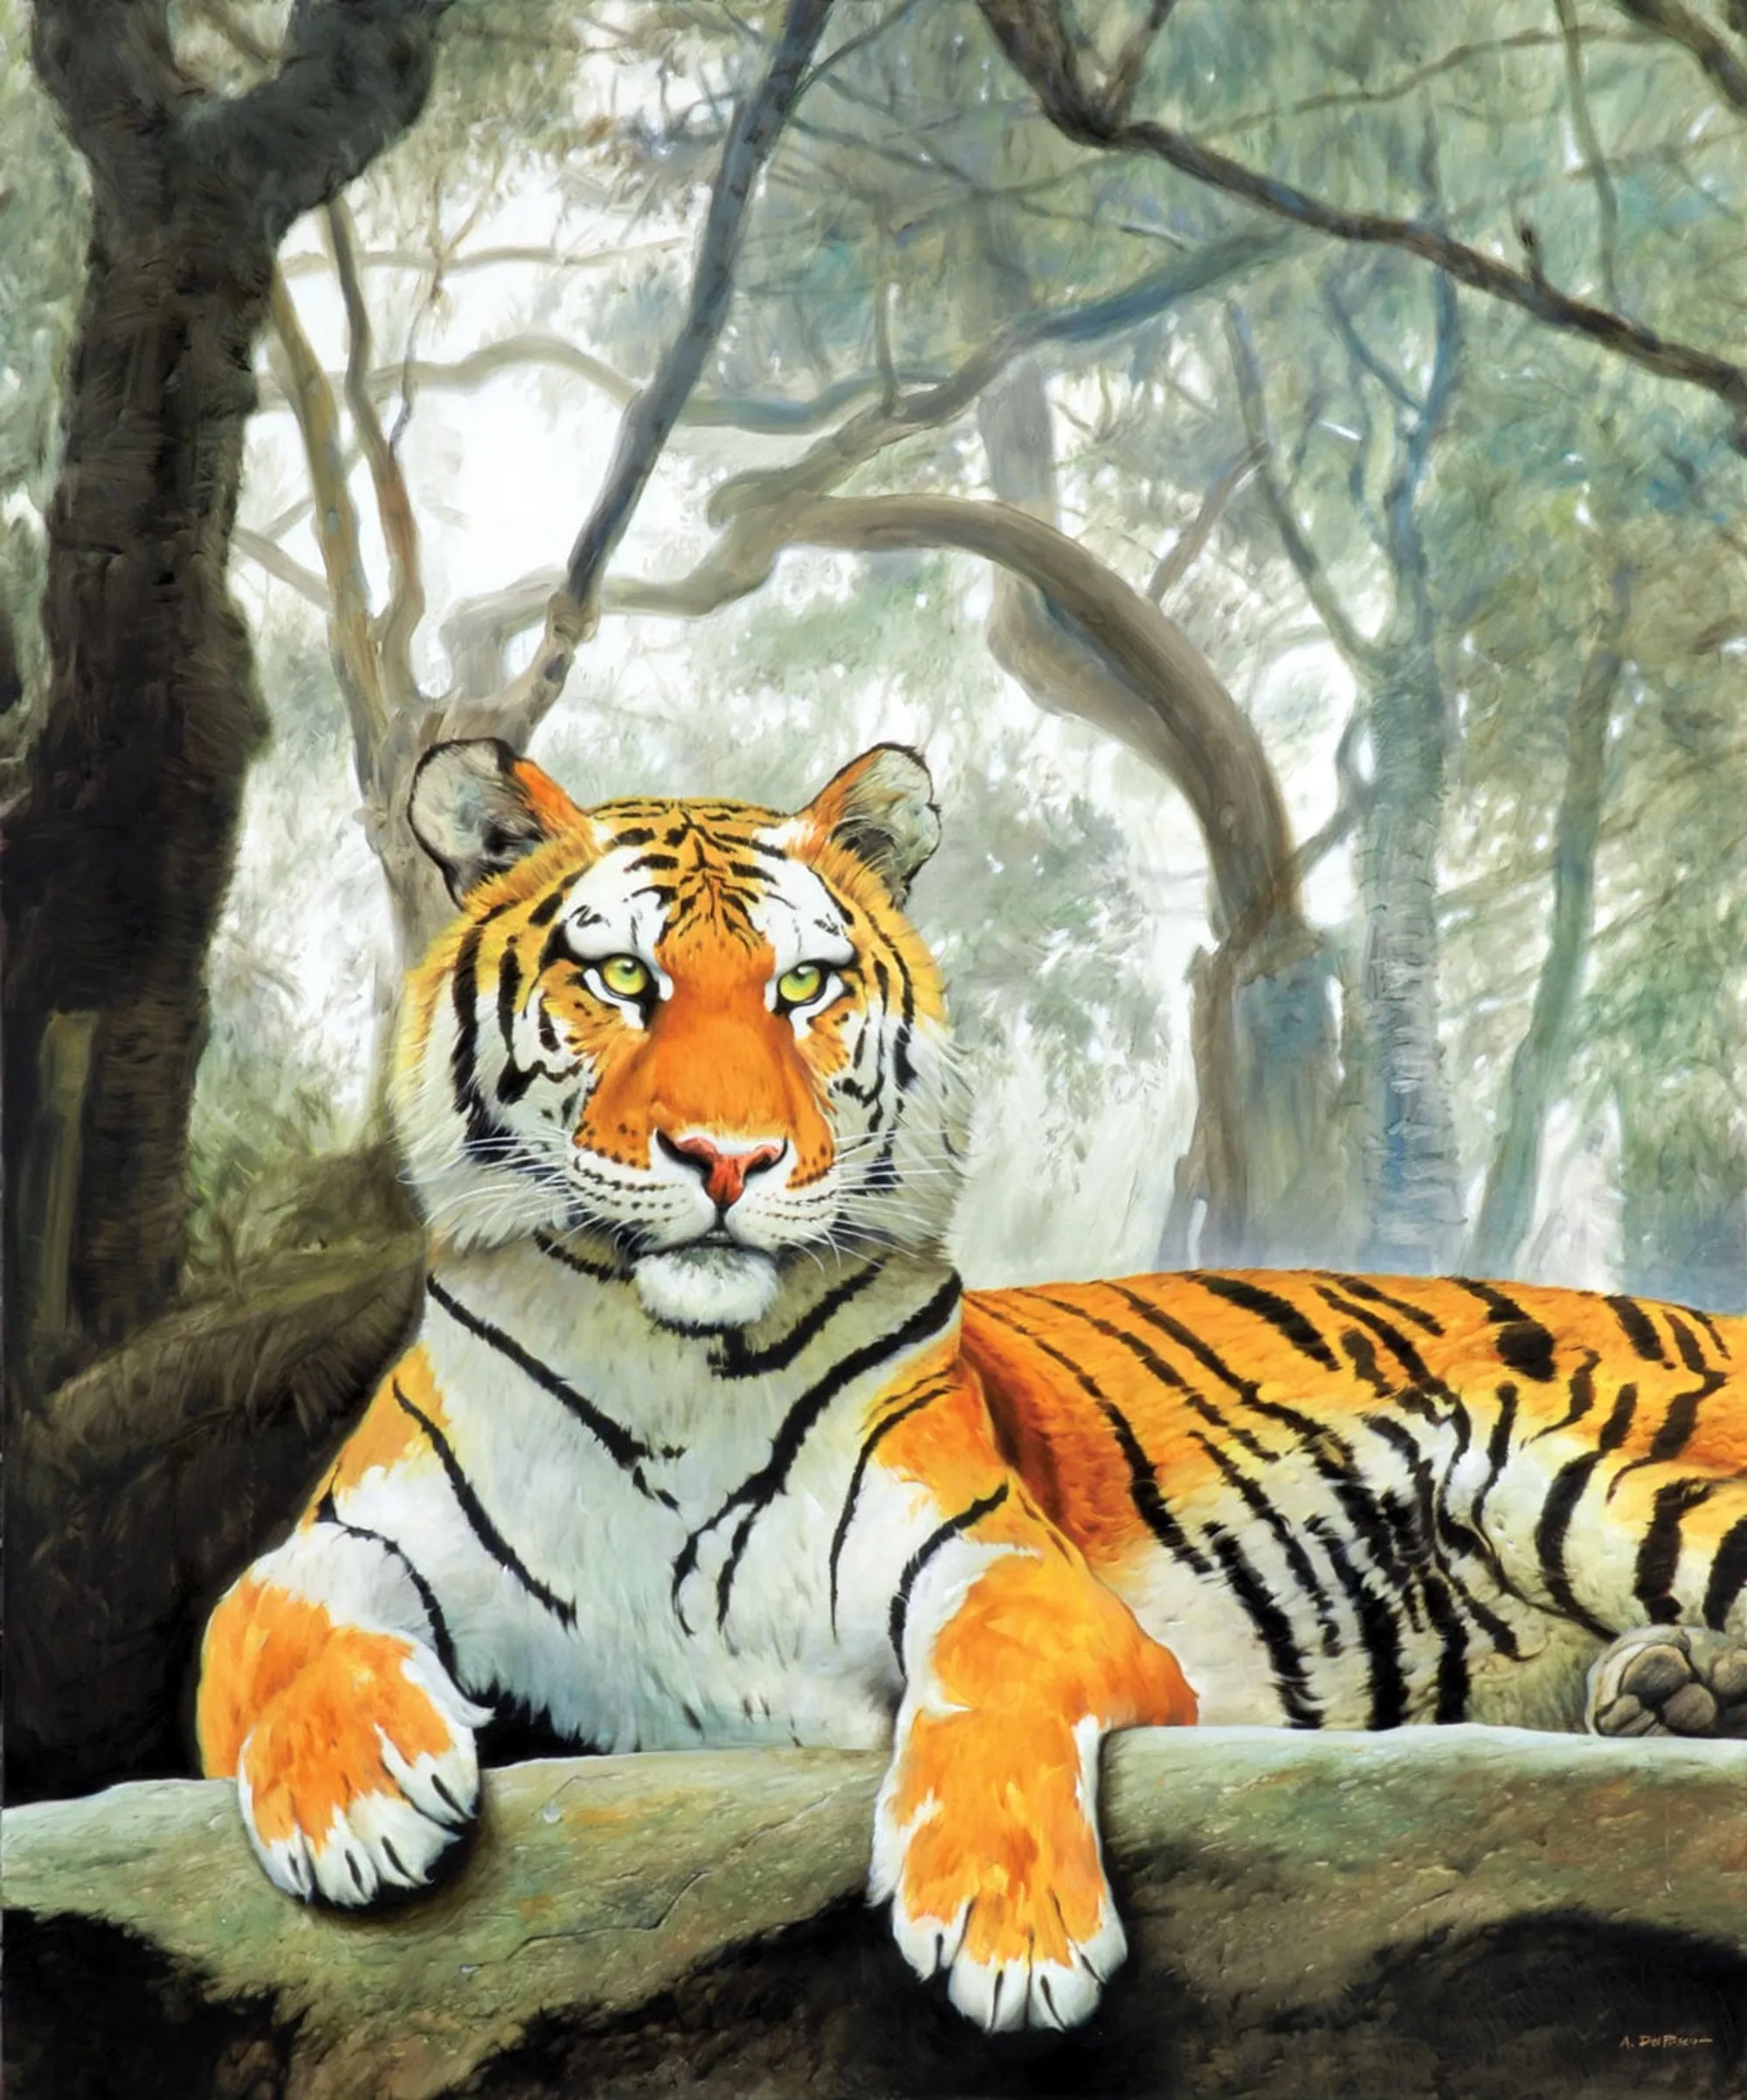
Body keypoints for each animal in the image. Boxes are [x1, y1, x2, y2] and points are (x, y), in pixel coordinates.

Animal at [197, 738, 1747, 2034]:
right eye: (625, 980)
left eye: (804, 987)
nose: (728, 1159)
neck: (672, 1362)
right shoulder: (343, 1536)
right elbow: (277, 1609)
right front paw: (351, 1804)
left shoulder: (1007, 1559)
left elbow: (989, 1667)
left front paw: (1011, 1932)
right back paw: (1669, 1689)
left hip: (1577, 1477)